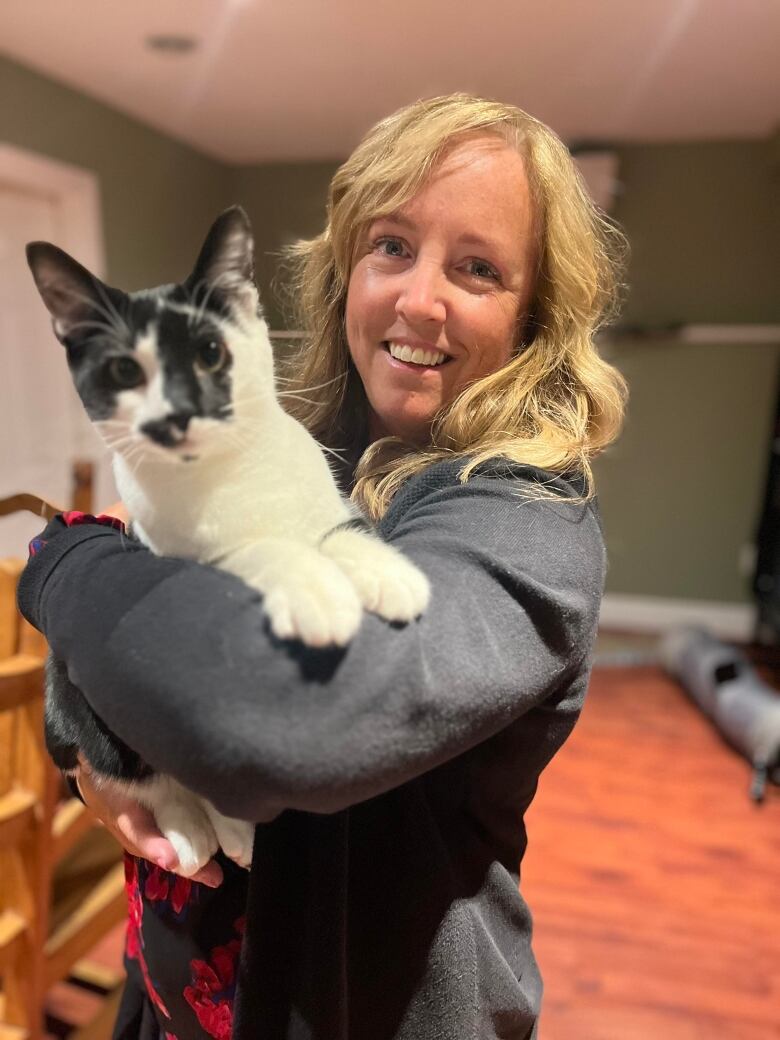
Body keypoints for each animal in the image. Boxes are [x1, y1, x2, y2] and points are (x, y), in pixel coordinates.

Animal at [26, 204, 428, 877]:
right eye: (123, 370)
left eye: (211, 353)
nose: (175, 414)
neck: (232, 470)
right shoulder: (171, 555)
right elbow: (259, 550)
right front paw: (317, 592)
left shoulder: (320, 501)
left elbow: (336, 531)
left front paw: (386, 573)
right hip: (76, 697)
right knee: (156, 776)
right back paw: (196, 833)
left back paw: (235, 832)